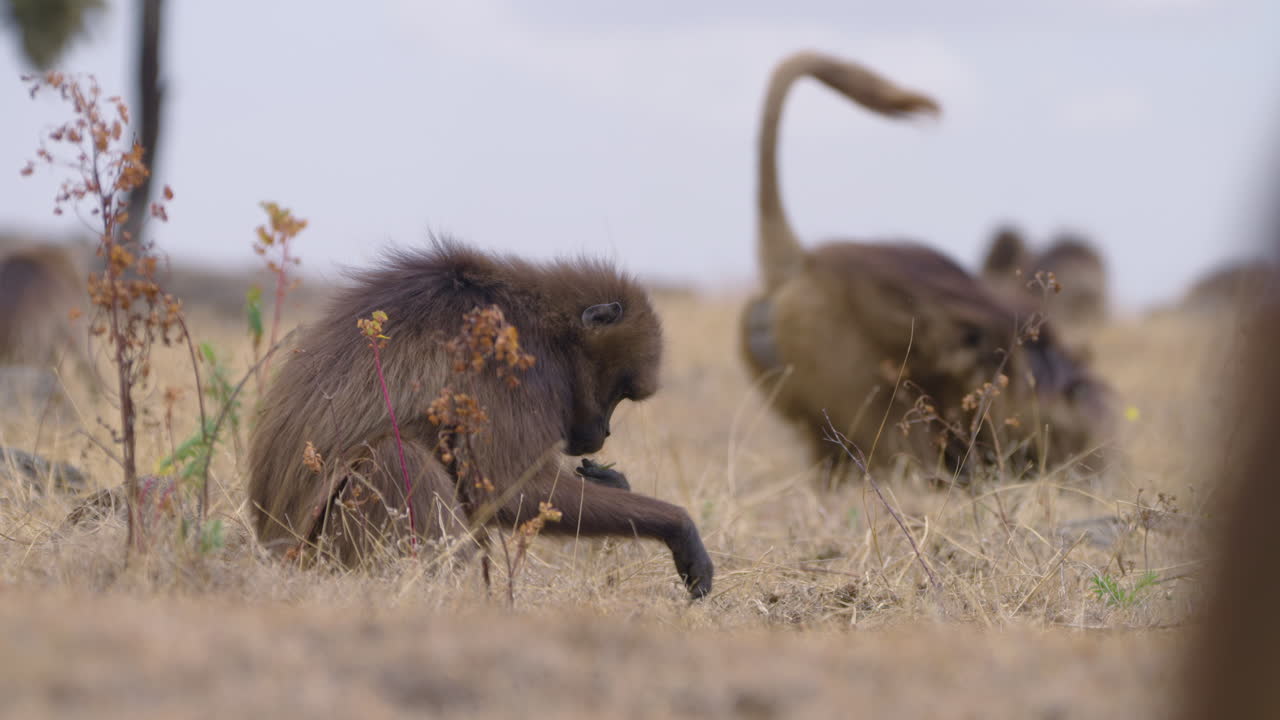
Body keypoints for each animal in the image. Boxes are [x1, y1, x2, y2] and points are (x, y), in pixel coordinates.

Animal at [247, 240, 713, 598]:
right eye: (616, 393)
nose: (604, 433)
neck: (547, 327)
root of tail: (270, 548)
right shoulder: (518, 369)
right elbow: (509, 489)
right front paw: (680, 527)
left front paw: (613, 482)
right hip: (321, 550)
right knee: (396, 458)